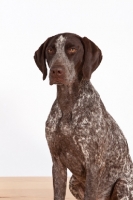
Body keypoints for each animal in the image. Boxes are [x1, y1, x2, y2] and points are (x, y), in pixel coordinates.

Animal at [34, 32, 133, 199]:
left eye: (73, 49)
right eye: (50, 50)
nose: (56, 71)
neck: (68, 104)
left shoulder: (93, 164)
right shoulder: (57, 163)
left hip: (123, 185)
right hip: (73, 181)